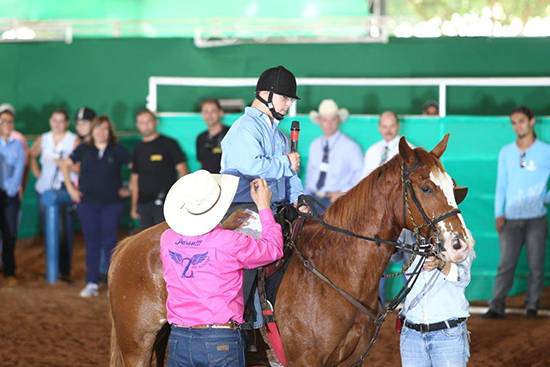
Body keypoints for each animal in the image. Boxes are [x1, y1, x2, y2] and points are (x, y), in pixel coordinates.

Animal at [108, 137, 474, 366]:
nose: (460, 244)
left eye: (451, 185)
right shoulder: (305, 361)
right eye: (426, 187)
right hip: (136, 346)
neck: (338, 270)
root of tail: (128, 245)